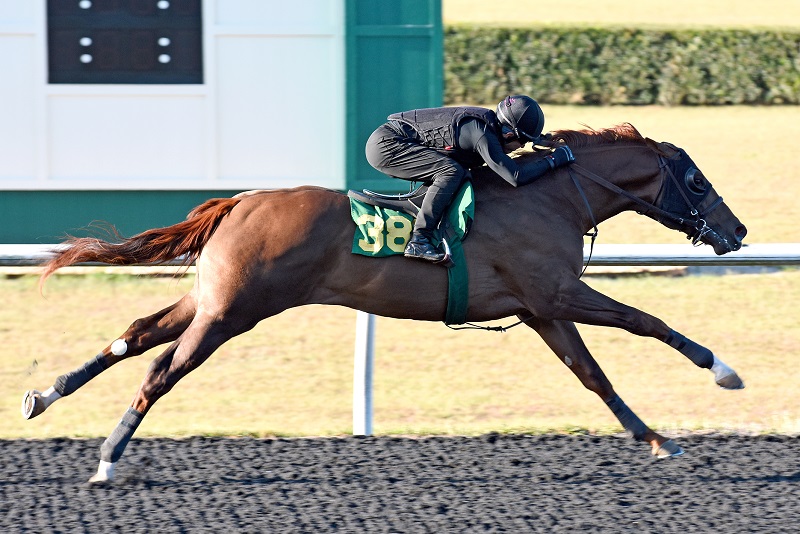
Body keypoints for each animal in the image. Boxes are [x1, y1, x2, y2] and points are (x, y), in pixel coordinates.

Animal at [23, 123, 752, 484]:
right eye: (695, 181)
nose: (738, 232)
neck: (547, 196)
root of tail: (241, 200)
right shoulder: (559, 291)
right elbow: (645, 320)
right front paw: (722, 370)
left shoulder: (542, 308)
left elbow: (594, 376)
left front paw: (656, 439)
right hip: (233, 312)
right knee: (161, 371)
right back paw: (108, 460)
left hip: (212, 297)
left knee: (137, 333)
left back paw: (47, 394)